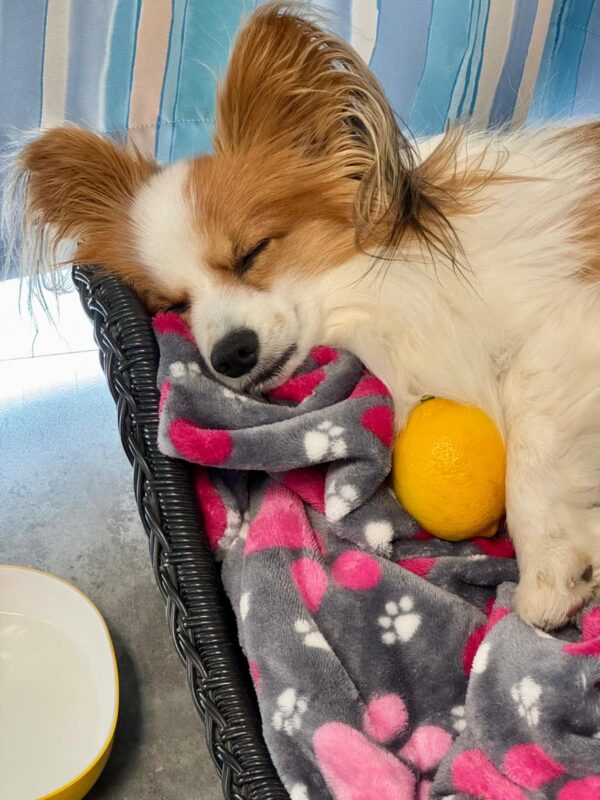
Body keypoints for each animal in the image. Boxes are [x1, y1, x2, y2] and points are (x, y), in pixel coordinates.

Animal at [5, 2, 599, 630]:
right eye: (174, 306)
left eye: (253, 252)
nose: (231, 355)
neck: (386, 292)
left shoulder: (564, 323)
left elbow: (531, 438)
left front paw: (550, 571)